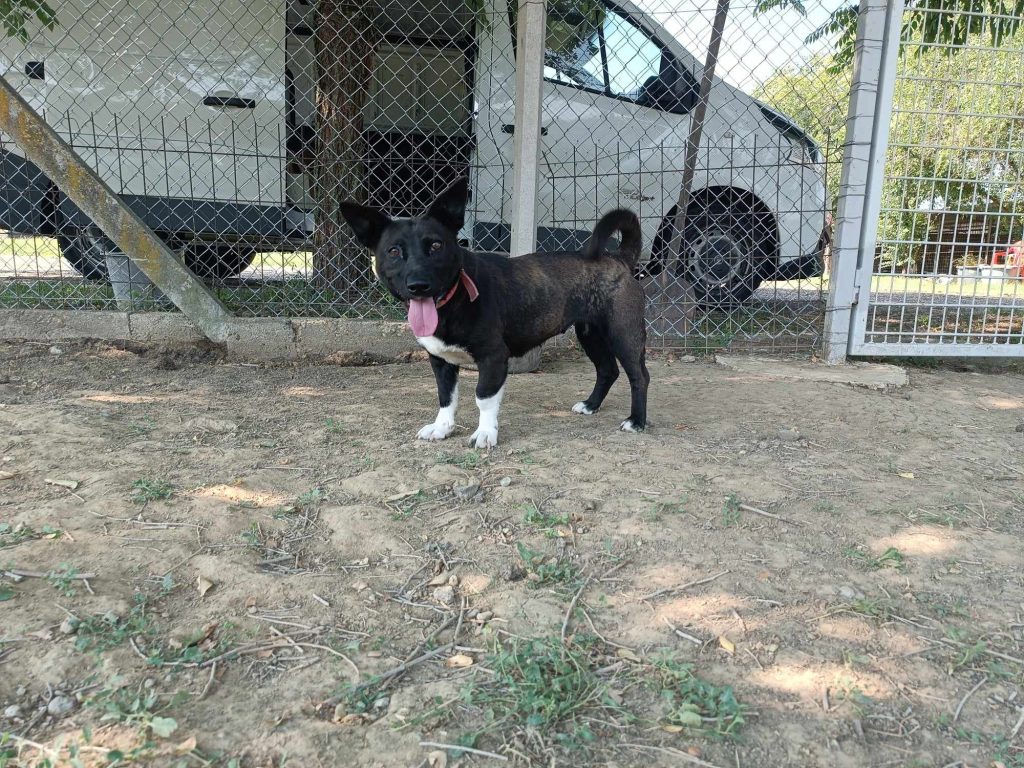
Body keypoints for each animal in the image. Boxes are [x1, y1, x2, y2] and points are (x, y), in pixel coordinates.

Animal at [339, 179, 649, 448]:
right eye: (393, 251)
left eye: (436, 245)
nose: (418, 285)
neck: (455, 300)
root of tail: (619, 258)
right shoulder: (441, 361)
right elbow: (446, 396)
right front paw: (442, 427)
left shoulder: (493, 358)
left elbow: (483, 398)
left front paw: (486, 433)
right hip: (591, 334)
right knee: (607, 370)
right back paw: (590, 405)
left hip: (624, 334)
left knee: (639, 376)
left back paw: (636, 421)